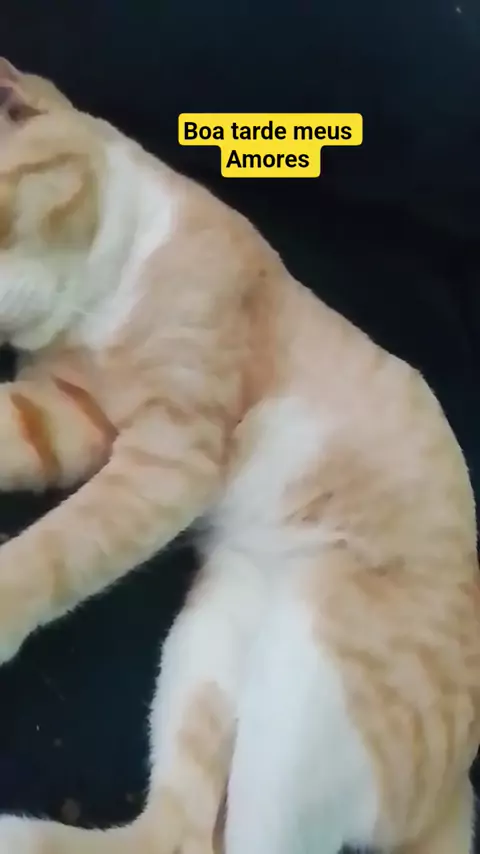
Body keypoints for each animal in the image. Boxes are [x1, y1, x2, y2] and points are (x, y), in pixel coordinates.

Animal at [0, 56, 476, 854]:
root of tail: (456, 788)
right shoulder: (70, 415)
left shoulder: (171, 456)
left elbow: (55, 547)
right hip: (210, 646)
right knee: (178, 832)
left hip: (302, 698)